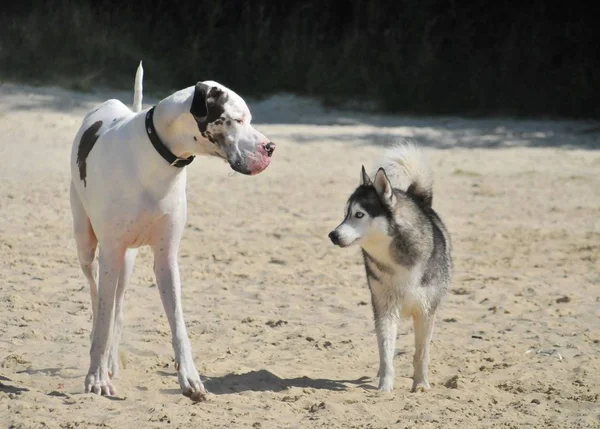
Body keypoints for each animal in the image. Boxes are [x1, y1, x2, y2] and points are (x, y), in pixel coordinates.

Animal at [69, 61, 274, 400]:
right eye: (236, 119)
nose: (270, 147)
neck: (156, 159)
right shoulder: (110, 253)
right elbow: (102, 317)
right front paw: (96, 378)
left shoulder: (166, 259)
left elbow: (178, 324)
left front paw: (190, 378)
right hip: (87, 246)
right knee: (98, 296)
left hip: (126, 263)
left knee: (118, 307)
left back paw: (111, 360)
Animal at [328, 143, 450, 392]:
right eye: (345, 214)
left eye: (359, 214)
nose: (333, 235)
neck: (398, 258)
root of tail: (417, 197)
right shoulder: (384, 308)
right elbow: (386, 351)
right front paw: (385, 386)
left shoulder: (426, 311)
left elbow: (421, 353)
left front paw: (421, 384)